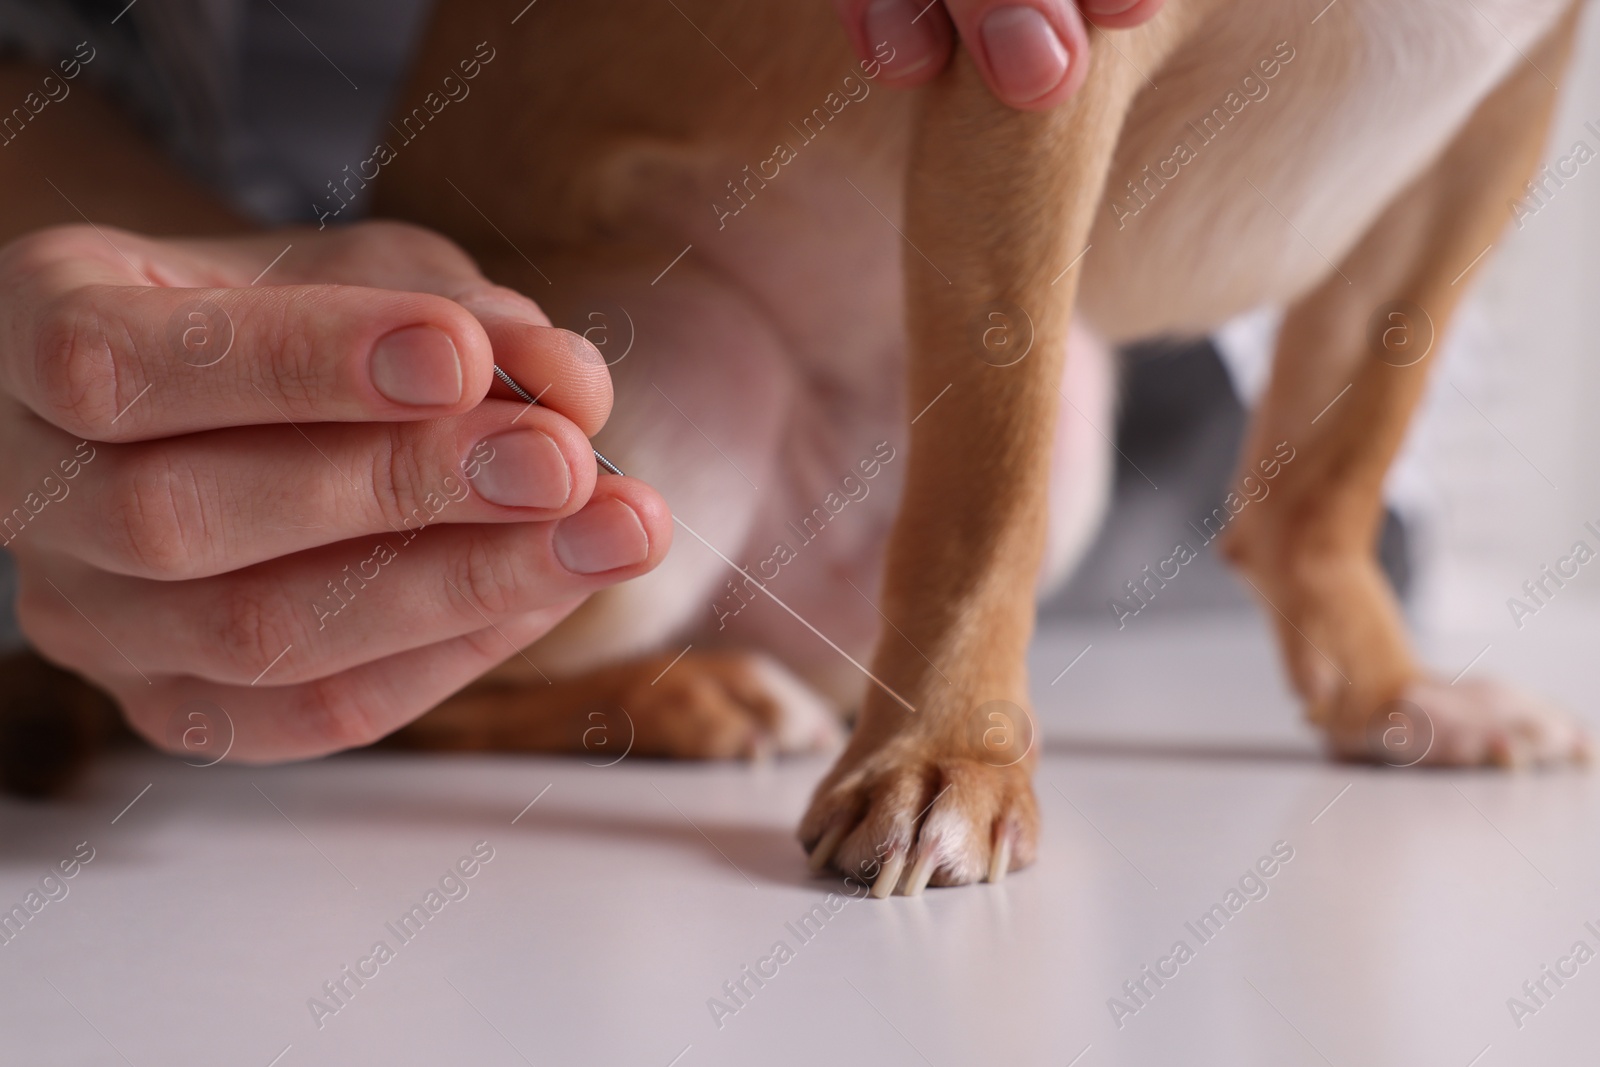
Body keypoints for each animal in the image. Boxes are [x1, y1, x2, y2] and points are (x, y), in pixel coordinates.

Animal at [374, 0, 1587, 895]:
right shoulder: (1038, 69)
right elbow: (985, 488)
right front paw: (950, 751)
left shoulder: (1491, 126)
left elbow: (1343, 455)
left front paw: (1389, 692)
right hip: (685, 386)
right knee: (417, 704)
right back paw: (684, 698)